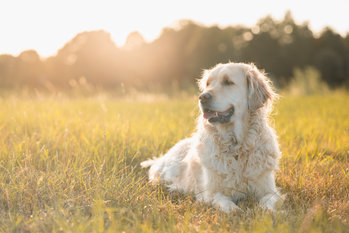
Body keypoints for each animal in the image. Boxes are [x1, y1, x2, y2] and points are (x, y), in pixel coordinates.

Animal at [141, 62, 280, 213]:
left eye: (228, 82)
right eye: (208, 84)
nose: (202, 97)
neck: (236, 146)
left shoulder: (269, 189)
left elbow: (268, 202)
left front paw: (265, 212)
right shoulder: (210, 192)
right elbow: (225, 202)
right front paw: (237, 211)